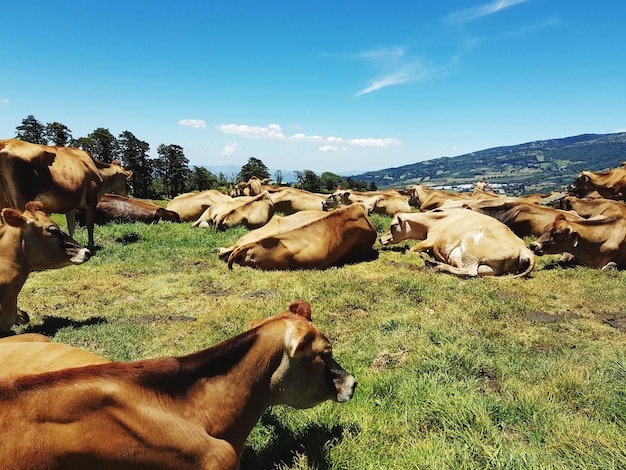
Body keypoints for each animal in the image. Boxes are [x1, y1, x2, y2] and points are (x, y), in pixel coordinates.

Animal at [0, 137, 132, 250]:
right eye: (125, 177)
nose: (130, 188)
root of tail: (6, 142)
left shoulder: (71, 205)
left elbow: (71, 226)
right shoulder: (91, 200)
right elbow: (90, 224)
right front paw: (91, 245)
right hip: (22, 200)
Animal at [378, 208, 532, 278]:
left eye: (393, 225)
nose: (380, 239)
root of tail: (523, 247)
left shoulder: (430, 240)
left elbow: (412, 249)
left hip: (470, 245)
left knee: (469, 271)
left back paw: (437, 265)